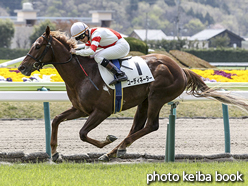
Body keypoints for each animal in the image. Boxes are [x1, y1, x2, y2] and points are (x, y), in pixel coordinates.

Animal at [18, 26, 247, 161]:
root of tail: (180, 68)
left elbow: (82, 133)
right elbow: (56, 119)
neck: (82, 74)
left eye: (37, 45)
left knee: (151, 126)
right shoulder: (80, 109)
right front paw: (55, 153)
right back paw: (114, 151)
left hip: (157, 97)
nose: (22, 67)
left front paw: (107, 139)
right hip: (144, 100)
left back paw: (115, 149)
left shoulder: (101, 111)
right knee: (137, 126)